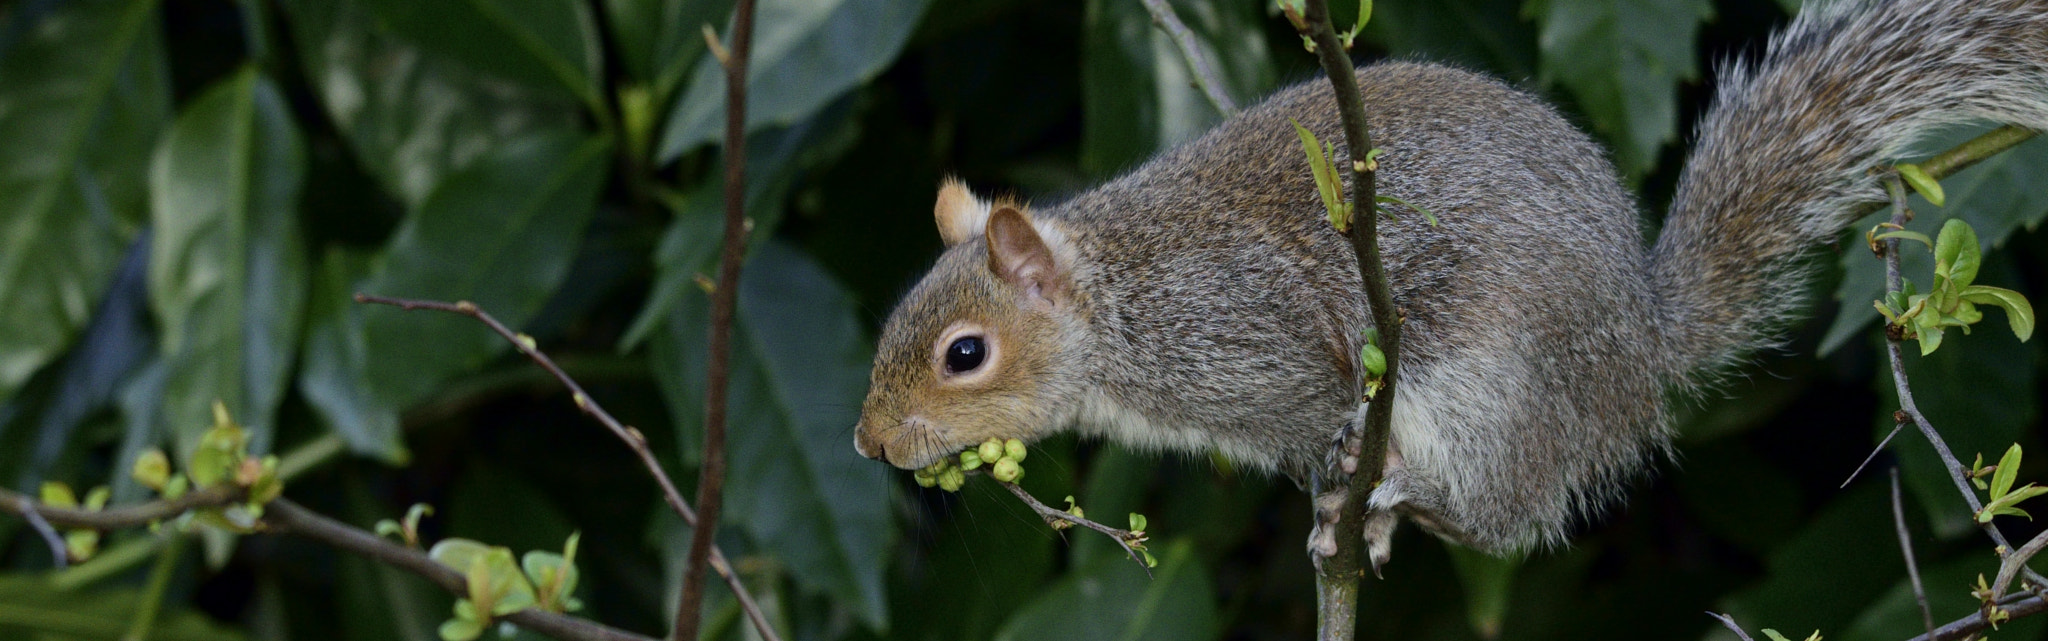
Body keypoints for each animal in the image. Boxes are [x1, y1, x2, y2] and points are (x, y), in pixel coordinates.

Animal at [843, 0, 2048, 557]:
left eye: (964, 353)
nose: (869, 444)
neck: (1124, 303)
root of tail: (1640, 348)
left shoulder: (1254, 337)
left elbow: (1322, 403)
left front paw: (1336, 479)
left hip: (1494, 391)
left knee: (1507, 514)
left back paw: (1391, 494)